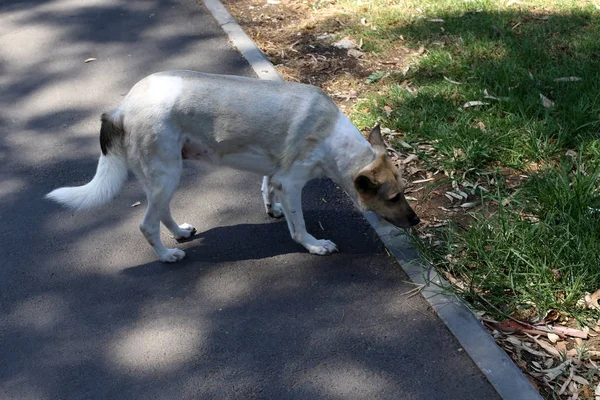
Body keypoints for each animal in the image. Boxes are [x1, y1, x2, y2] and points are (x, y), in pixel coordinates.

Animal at [44, 70, 420, 264]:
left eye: (404, 192)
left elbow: (266, 187)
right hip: (166, 174)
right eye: (393, 197)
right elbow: (299, 227)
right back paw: (167, 254)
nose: (416, 221)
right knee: (147, 224)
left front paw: (272, 209)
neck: (333, 139)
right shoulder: (291, 182)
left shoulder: (276, 173)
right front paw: (314, 245)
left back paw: (180, 232)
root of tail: (121, 108)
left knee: (160, 213)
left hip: (165, 175)